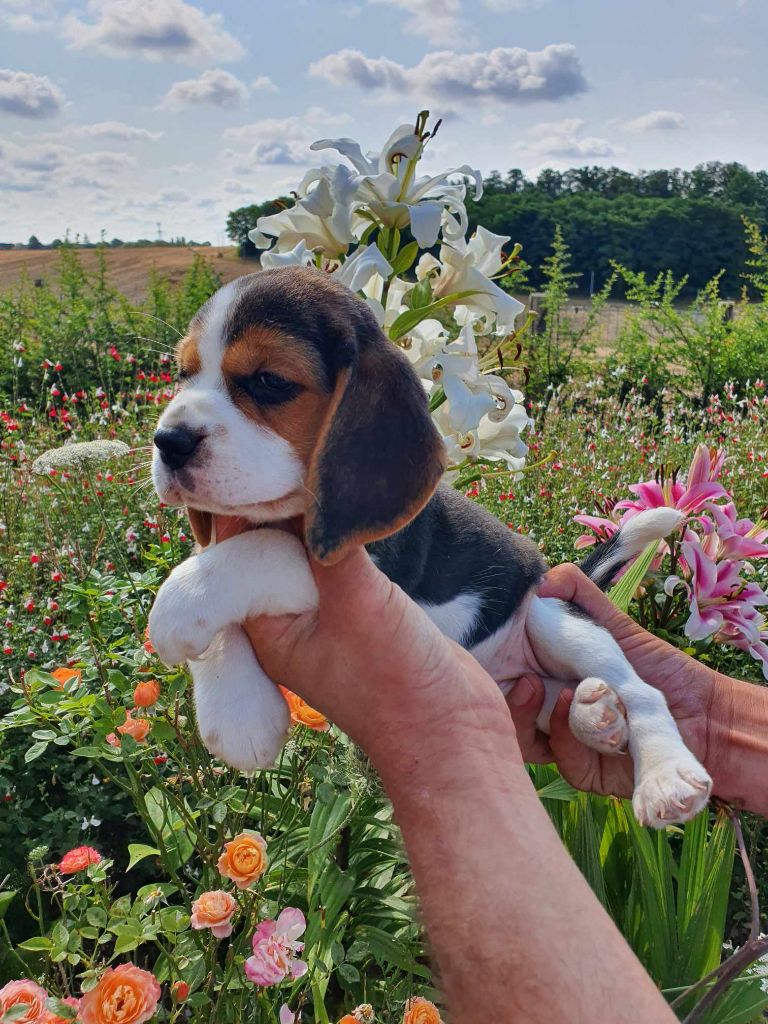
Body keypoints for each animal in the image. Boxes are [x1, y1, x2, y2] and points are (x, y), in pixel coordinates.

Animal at [151, 268, 716, 827]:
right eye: (184, 374)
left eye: (269, 381)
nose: (168, 441)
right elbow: (220, 570)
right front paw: (238, 709)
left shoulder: (368, 568)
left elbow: (263, 549)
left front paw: (177, 607)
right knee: (566, 697)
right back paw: (594, 716)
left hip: (553, 619)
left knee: (643, 690)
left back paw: (664, 776)